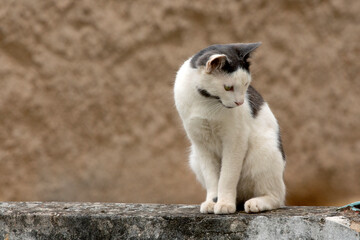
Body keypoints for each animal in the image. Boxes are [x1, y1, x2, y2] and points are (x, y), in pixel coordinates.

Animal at [173, 42, 286, 214]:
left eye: (246, 84)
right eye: (228, 88)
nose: (240, 102)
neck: (206, 102)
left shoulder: (235, 140)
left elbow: (227, 176)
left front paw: (225, 204)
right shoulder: (201, 144)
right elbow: (212, 178)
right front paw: (212, 202)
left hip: (264, 151)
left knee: (277, 196)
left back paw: (256, 203)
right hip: (194, 158)